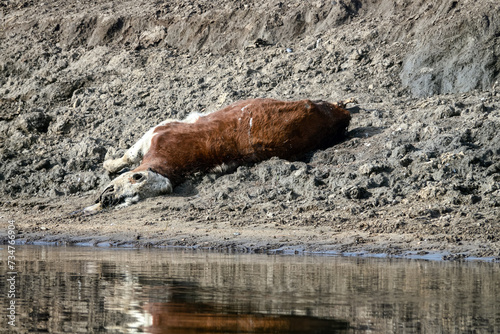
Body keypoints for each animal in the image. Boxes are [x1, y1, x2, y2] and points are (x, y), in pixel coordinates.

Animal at [82, 98, 354, 213]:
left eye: (131, 196)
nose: (108, 201)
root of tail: (339, 117)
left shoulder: (160, 129)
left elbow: (129, 154)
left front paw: (109, 163)